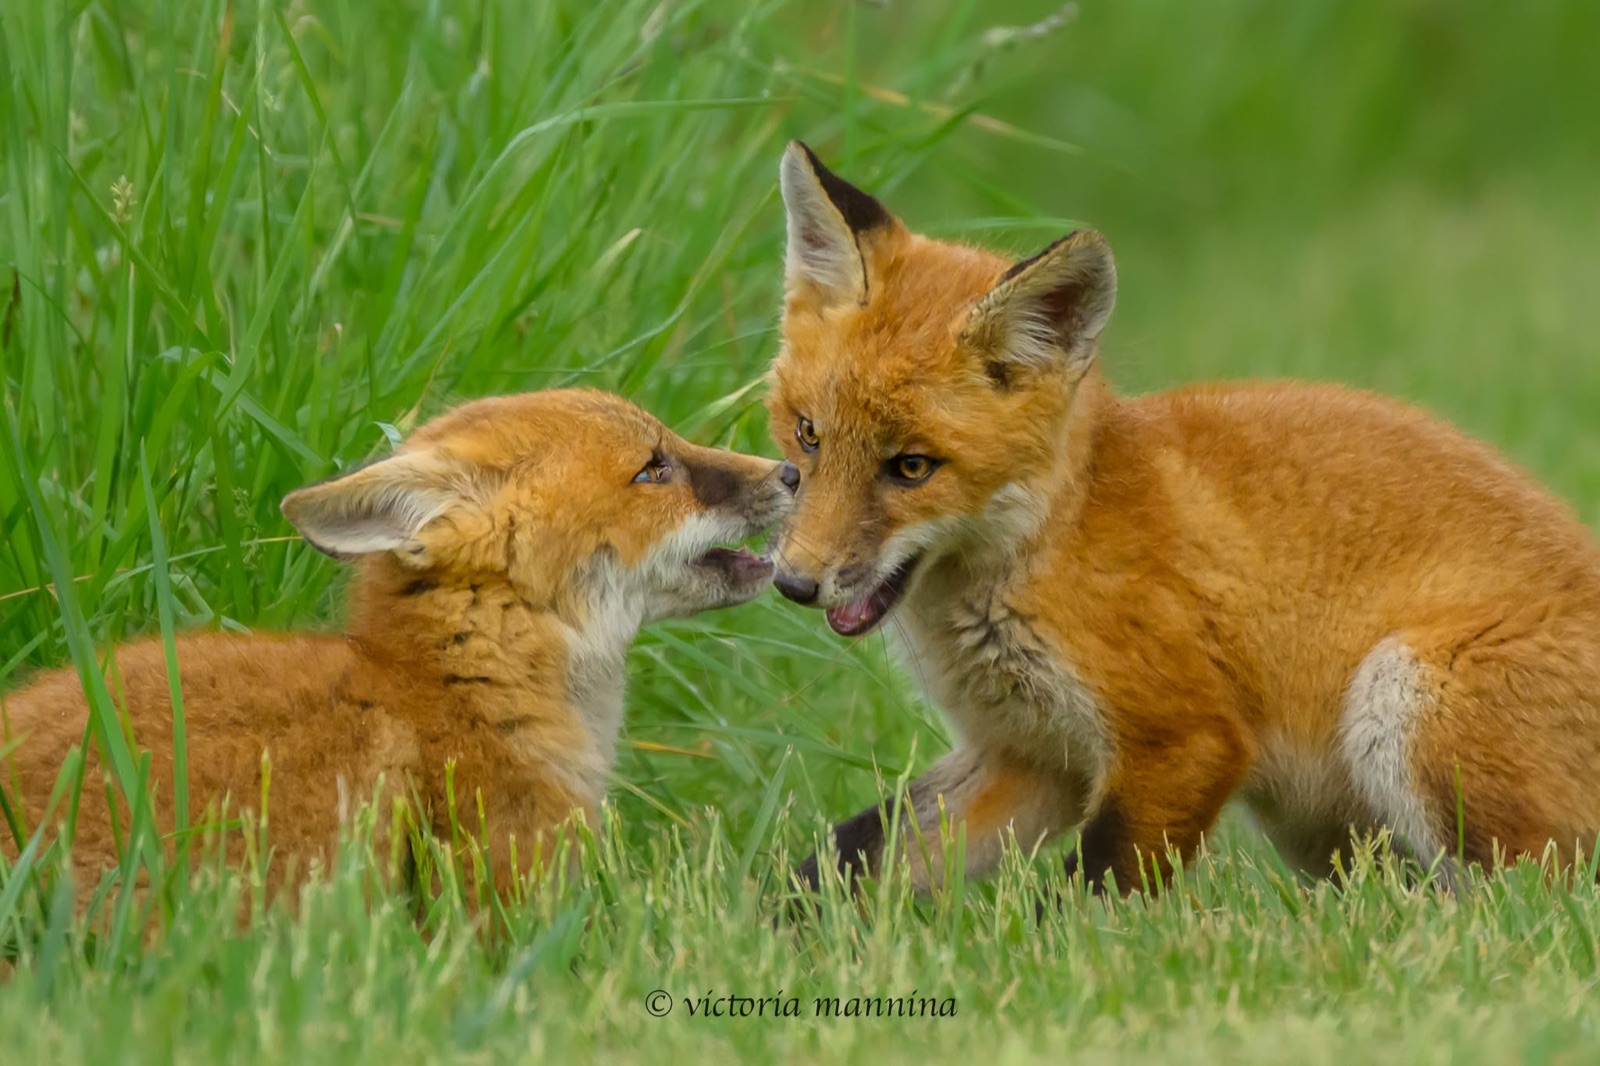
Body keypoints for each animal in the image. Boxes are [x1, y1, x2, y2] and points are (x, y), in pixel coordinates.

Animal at [765, 141, 1600, 897]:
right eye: (807, 434)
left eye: (911, 467)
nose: (794, 583)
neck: (1052, 537)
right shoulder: (1029, 757)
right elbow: (847, 861)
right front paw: (766, 933)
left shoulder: (1185, 740)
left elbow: (1088, 896)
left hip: (1400, 694)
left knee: (1527, 896)